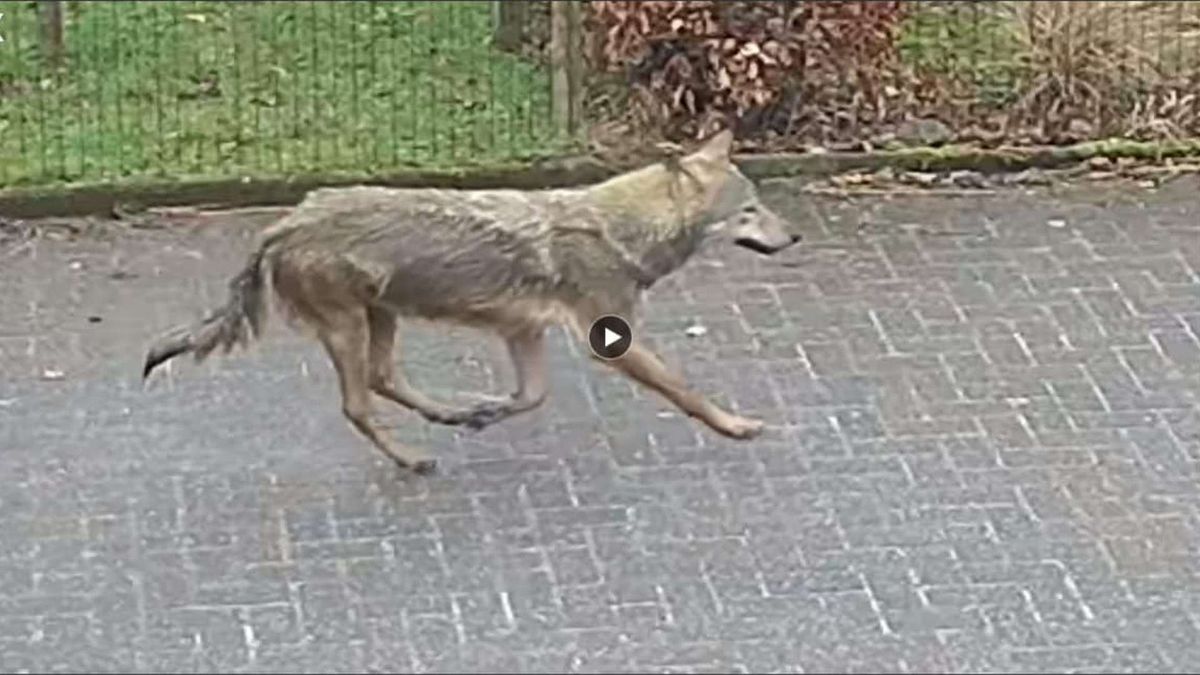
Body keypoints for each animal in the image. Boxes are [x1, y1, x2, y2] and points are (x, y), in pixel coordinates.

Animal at [143, 130, 800, 473]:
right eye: (749, 212)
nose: (794, 237)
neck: (619, 229)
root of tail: (284, 222)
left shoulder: (523, 332)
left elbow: (530, 396)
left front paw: (485, 412)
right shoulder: (610, 341)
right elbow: (686, 391)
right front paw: (735, 426)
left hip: (381, 319)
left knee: (382, 380)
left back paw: (448, 414)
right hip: (352, 327)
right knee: (358, 405)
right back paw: (412, 458)